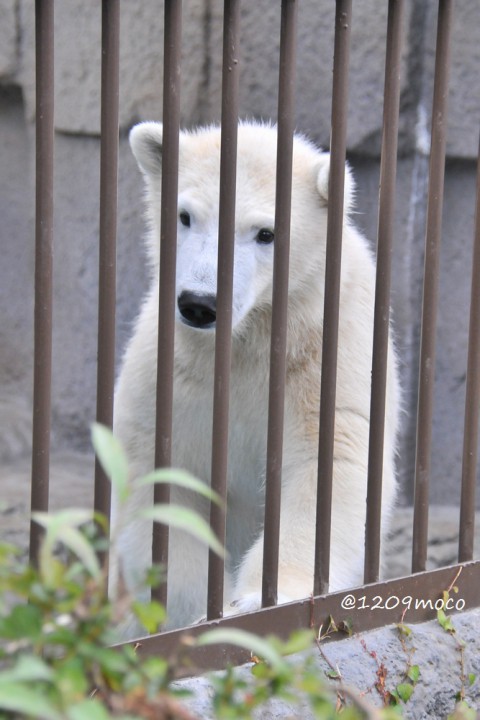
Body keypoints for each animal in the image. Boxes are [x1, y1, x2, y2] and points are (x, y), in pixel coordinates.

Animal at [111, 122, 398, 632]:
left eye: (266, 233)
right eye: (185, 216)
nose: (199, 303)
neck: (248, 337)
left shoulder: (330, 353)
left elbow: (328, 468)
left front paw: (257, 600)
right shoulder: (171, 372)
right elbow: (162, 491)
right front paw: (205, 613)